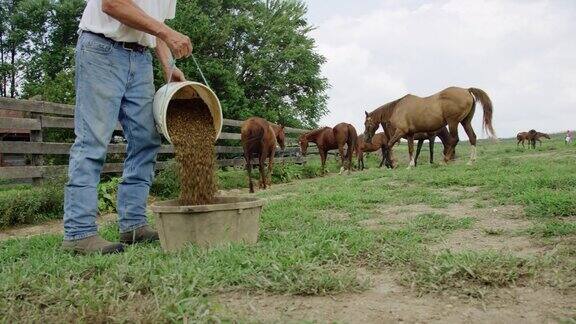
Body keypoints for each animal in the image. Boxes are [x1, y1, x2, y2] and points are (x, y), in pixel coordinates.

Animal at [364, 86, 496, 167]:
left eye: (366, 124)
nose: (365, 138)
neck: (397, 108)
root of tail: (466, 90)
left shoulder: (401, 132)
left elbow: (389, 145)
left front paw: (391, 164)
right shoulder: (410, 134)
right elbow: (411, 149)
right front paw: (411, 165)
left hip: (453, 122)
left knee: (454, 139)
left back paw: (444, 160)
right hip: (465, 122)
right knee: (472, 137)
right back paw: (470, 161)